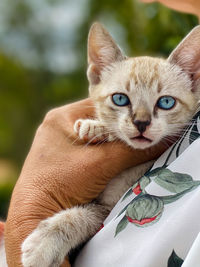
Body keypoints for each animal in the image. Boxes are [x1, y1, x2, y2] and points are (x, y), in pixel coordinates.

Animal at [20, 23, 200, 267]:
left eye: (166, 102)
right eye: (120, 99)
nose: (141, 123)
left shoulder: (106, 211)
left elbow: (81, 216)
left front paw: (42, 246)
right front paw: (95, 128)